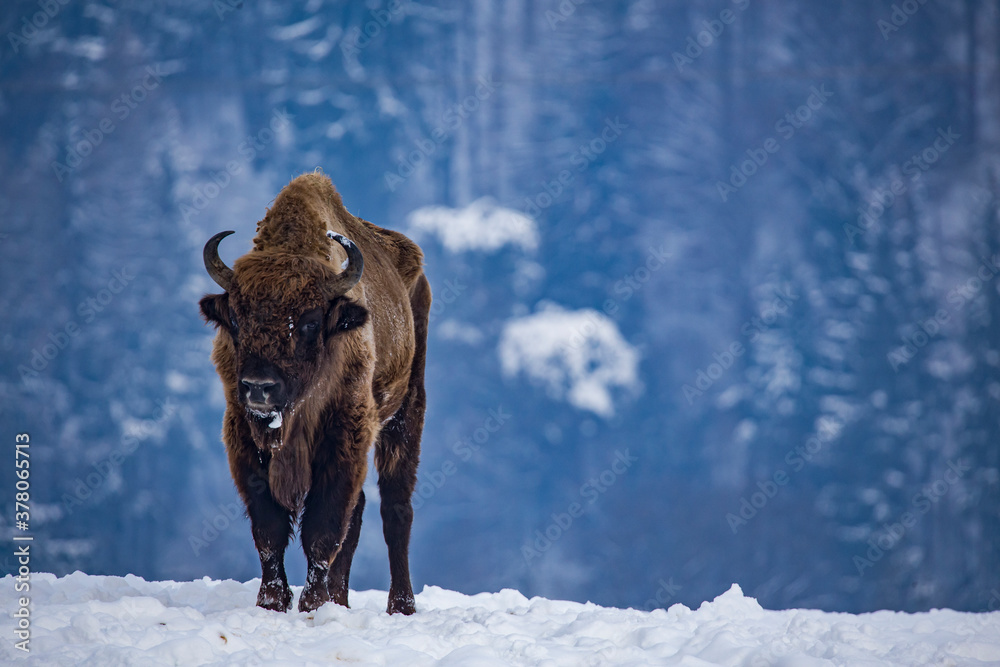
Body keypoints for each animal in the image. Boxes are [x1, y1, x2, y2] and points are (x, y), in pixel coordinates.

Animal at [199, 172, 429, 614]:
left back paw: (401, 605)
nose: (259, 387)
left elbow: (323, 526)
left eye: (308, 322)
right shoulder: (243, 437)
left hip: (407, 410)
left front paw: (312, 605)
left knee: (396, 508)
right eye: (235, 317)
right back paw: (341, 600)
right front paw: (273, 602)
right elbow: (269, 529)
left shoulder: (344, 434)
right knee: (358, 514)